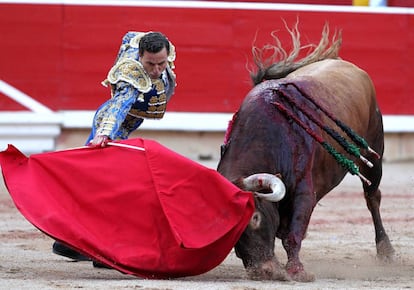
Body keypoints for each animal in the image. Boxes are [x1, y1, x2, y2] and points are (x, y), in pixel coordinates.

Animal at [217, 23, 394, 282]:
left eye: (255, 217)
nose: (263, 272)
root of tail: (348, 65)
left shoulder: (303, 190)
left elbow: (293, 234)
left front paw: (298, 271)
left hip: (374, 152)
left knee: (372, 197)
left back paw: (386, 250)